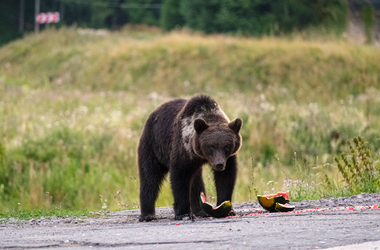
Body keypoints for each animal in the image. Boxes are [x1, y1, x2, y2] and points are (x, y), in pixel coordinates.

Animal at [138, 94, 242, 222]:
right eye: (211, 146)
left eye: (227, 146)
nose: (219, 164)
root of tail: (153, 114)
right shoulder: (184, 148)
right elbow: (180, 177)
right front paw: (184, 214)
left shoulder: (228, 158)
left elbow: (226, 177)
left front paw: (226, 209)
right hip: (153, 146)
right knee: (150, 177)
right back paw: (148, 215)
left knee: (196, 182)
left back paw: (201, 211)